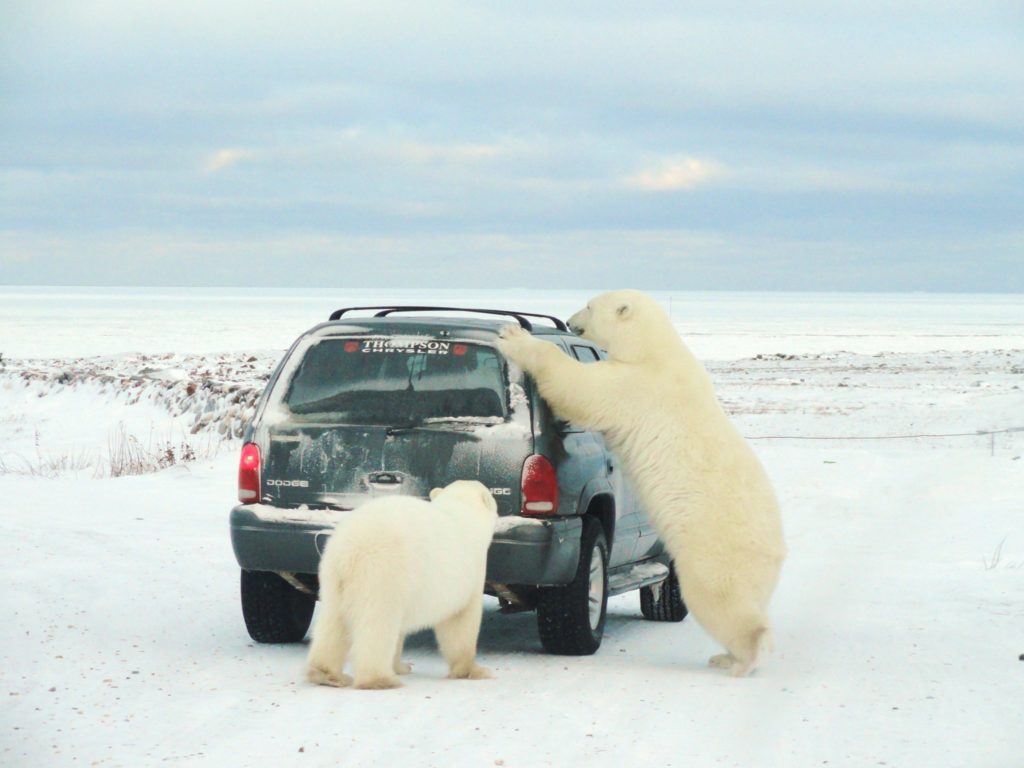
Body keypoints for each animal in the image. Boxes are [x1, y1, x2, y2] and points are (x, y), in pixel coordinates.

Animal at [305, 481, 497, 692]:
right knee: (378, 624)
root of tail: (349, 551)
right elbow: (461, 622)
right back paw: (380, 680)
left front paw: (401, 666)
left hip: (333, 577)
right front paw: (475, 670)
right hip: (381, 573)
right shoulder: (470, 571)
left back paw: (327, 674)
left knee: (333, 622)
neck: (462, 510)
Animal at [499, 290, 786, 675]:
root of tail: (775, 551)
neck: (654, 348)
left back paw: (736, 659)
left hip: (716, 553)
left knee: (722, 603)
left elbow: (579, 387)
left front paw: (513, 336)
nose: (570, 320)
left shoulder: (635, 385)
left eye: (590, 306)